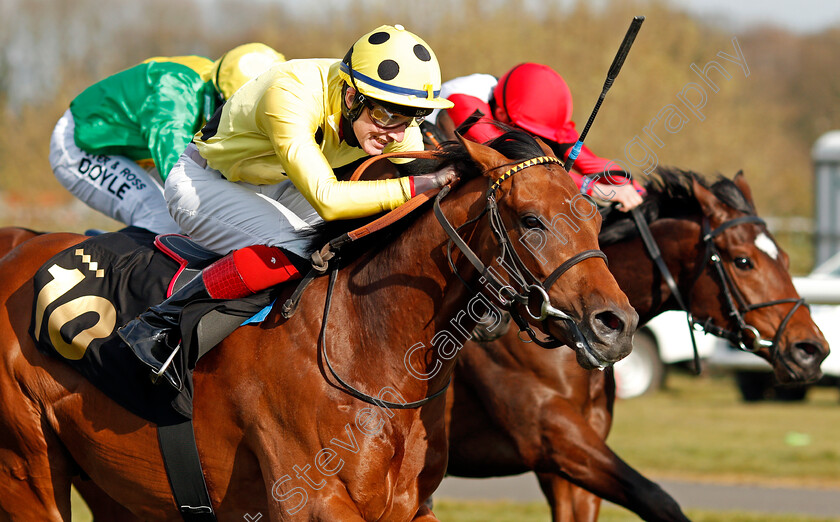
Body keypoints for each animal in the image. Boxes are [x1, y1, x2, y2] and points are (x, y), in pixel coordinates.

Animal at [0, 131, 636, 520]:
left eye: (593, 215)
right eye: (530, 221)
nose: (617, 323)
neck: (370, 348)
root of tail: (20, 246)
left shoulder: (412, 505)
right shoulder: (313, 500)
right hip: (29, 472)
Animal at [446, 169, 828, 516]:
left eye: (786, 259)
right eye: (743, 261)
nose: (812, 349)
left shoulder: (568, 467)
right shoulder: (549, 436)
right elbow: (657, 499)